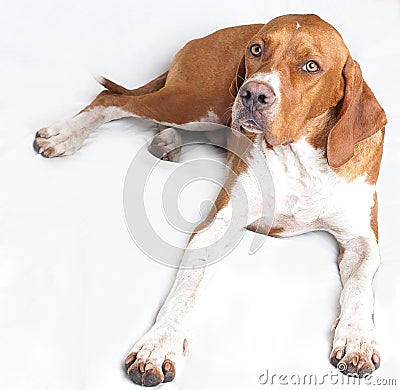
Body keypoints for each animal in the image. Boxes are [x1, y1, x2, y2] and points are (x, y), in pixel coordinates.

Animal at [34, 13, 388, 386]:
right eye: (257, 49)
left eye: (311, 66)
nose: (253, 94)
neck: (299, 159)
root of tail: (206, 36)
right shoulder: (218, 223)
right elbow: (187, 290)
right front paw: (159, 345)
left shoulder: (363, 242)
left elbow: (360, 288)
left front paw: (358, 339)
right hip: (189, 103)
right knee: (110, 100)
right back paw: (66, 134)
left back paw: (167, 140)